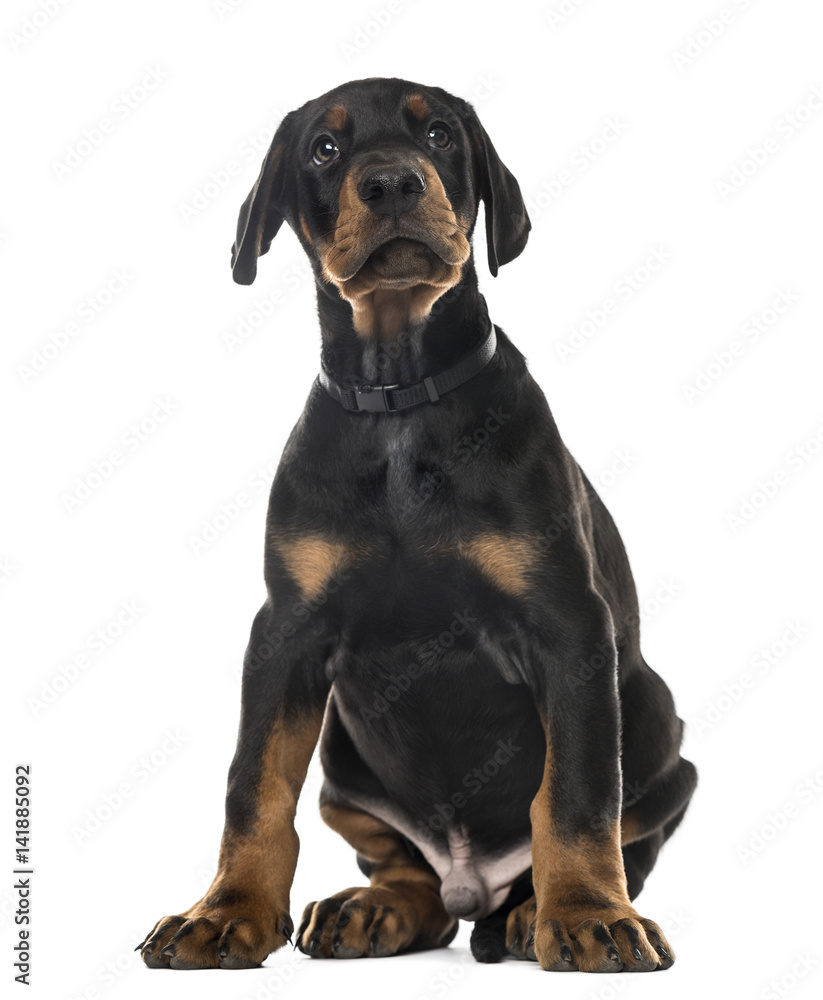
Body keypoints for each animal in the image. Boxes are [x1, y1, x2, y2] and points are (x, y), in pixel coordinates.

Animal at [140, 76, 696, 968]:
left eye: (437, 135)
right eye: (325, 149)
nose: (393, 183)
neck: (399, 399)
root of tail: (472, 879)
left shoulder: (568, 625)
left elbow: (575, 794)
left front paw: (587, 917)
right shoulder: (285, 630)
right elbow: (253, 787)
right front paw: (224, 914)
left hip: (655, 726)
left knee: (614, 830)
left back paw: (529, 913)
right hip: (344, 763)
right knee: (416, 883)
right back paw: (373, 908)